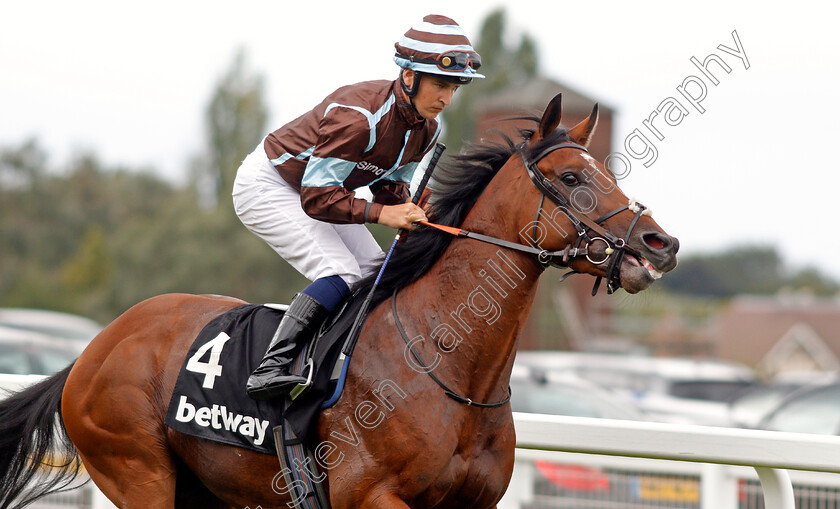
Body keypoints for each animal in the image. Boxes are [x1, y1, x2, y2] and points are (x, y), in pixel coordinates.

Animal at [0, 95, 676, 508]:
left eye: (610, 173)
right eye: (571, 178)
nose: (659, 244)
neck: (449, 362)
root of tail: (91, 350)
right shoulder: (370, 495)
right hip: (138, 471)